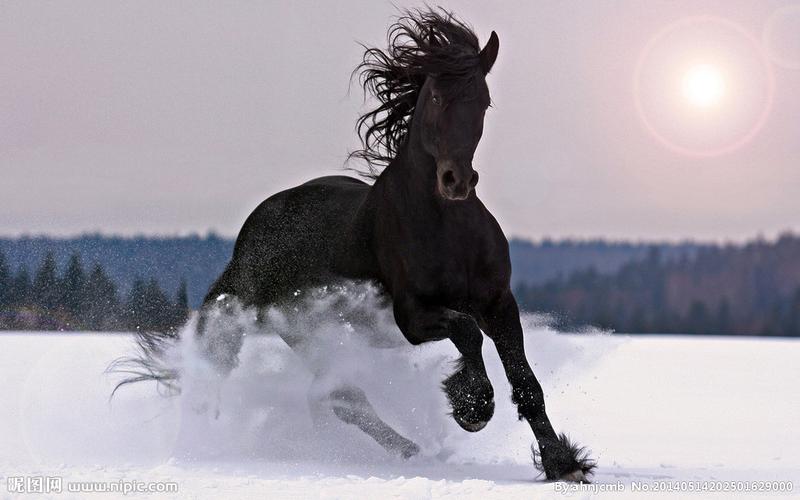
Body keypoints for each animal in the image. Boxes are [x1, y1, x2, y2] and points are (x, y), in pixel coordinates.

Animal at [115, 8, 595, 482]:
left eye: (484, 100)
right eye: (438, 98)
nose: (456, 181)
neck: (447, 228)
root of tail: (248, 240)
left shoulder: (498, 303)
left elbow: (526, 382)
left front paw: (564, 463)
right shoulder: (411, 315)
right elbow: (466, 332)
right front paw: (472, 407)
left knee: (336, 396)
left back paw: (408, 450)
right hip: (304, 330)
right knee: (340, 396)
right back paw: (409, 451)